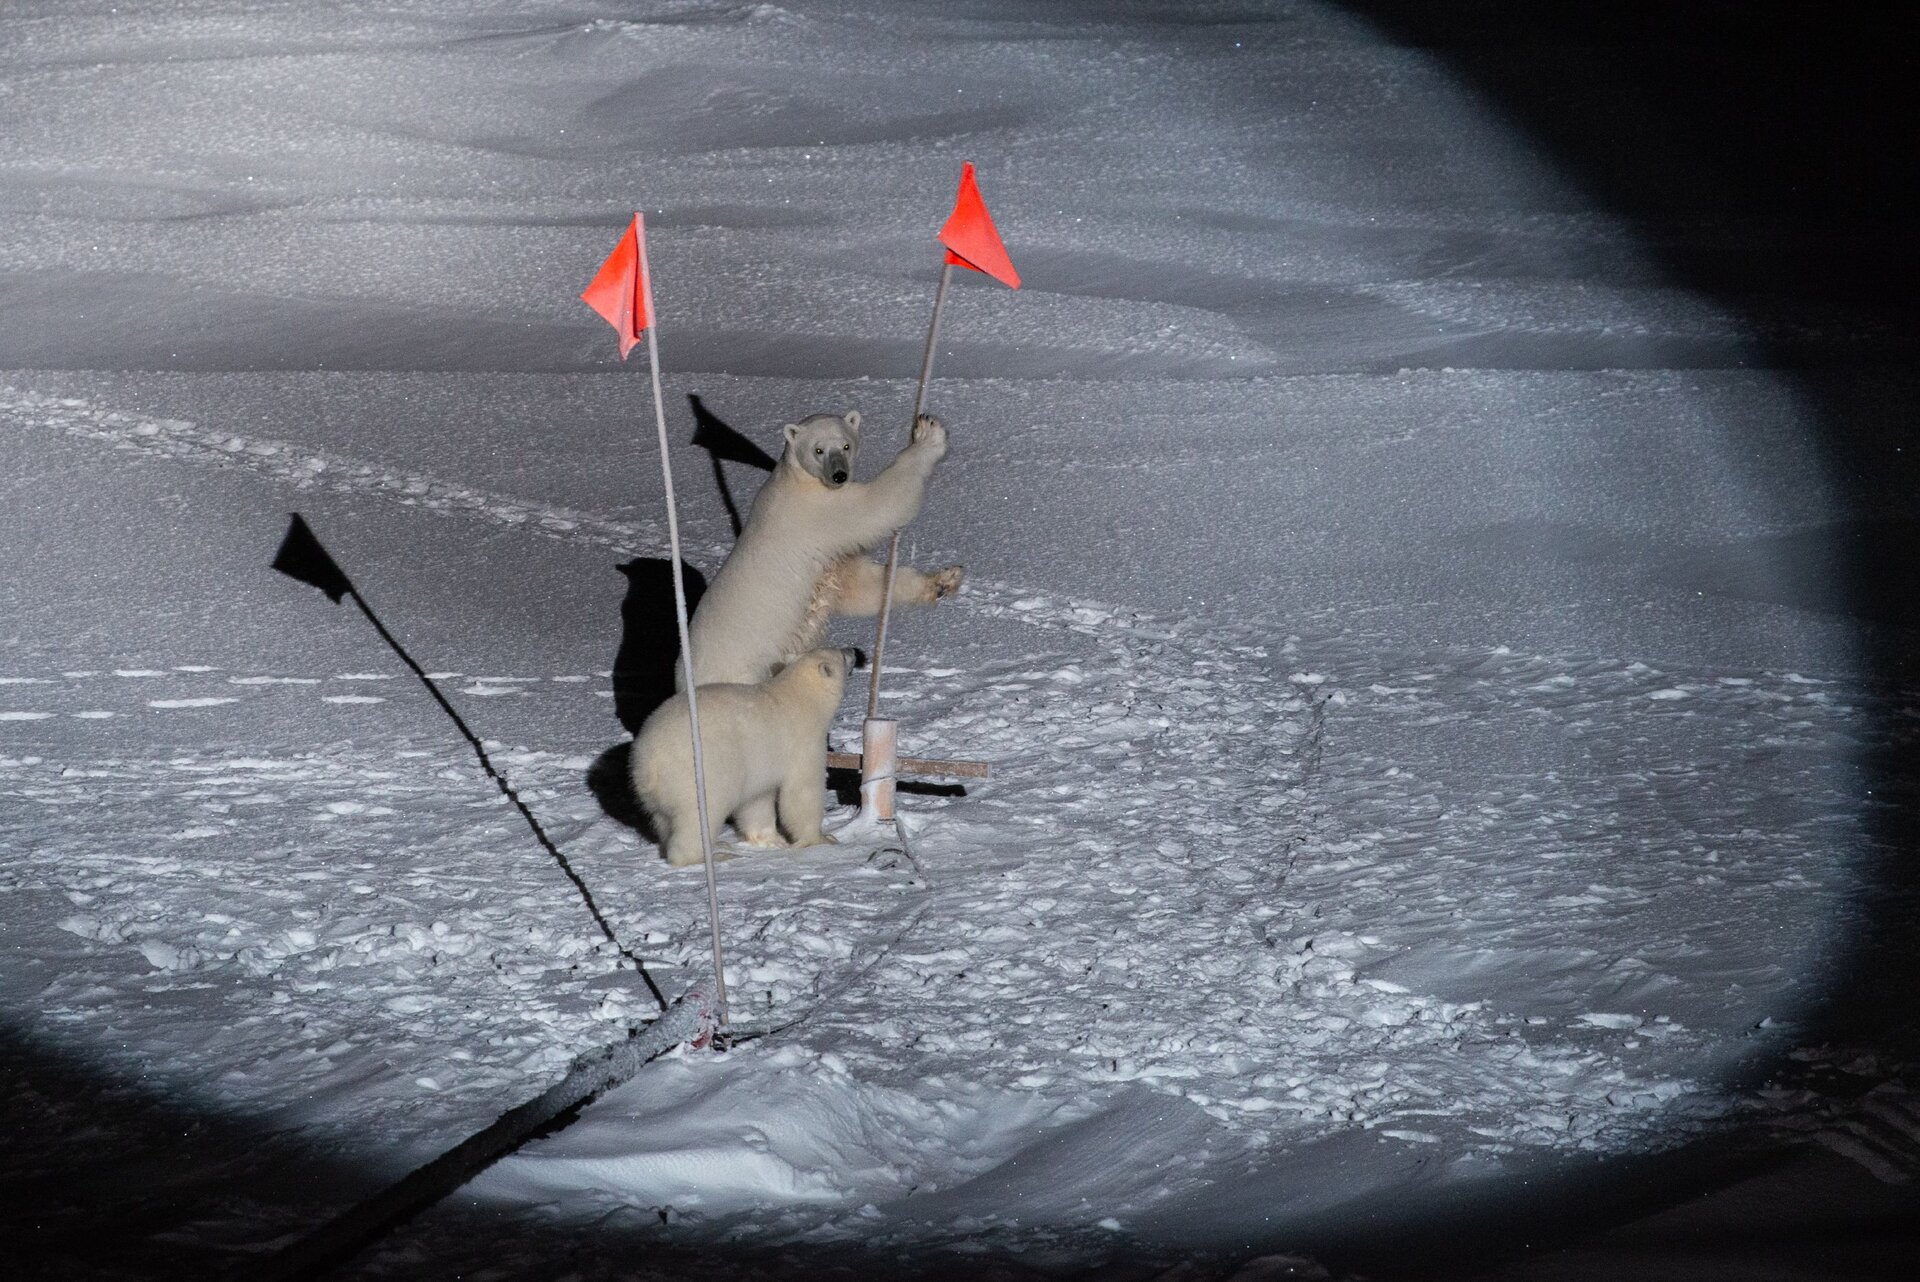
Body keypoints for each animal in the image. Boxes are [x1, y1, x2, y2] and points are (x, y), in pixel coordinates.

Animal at [631, 647, 856, 867]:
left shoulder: (759, 763)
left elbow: (756, 799)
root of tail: (647, 763)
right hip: (696, 778)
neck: (799, 697)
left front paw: (771, 840)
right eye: (841, 655)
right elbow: (802, 793)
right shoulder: (803, 744)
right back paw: (712, 855)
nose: (854, 651)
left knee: (663, 821)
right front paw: (823, 839)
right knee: (696, 820)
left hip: (658, 795)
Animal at [678, 410, 962, 689]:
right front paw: (929, 434)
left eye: (846, 445)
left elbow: (862, 587)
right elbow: (880, 504)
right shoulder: (818, 510)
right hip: (740, 670)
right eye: (818, 450)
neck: (797, 477)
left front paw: (944, 580)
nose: (839, 475)